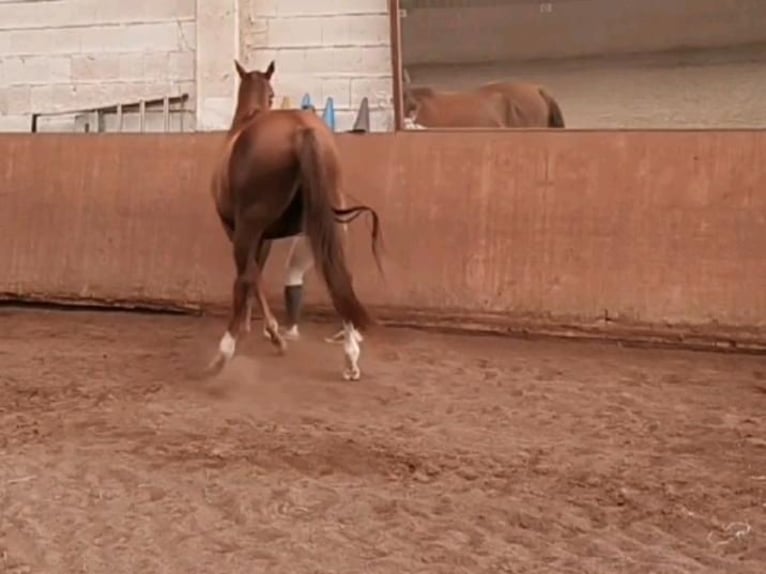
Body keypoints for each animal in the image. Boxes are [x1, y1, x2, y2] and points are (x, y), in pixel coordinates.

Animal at [208, 60, 382, 380]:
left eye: (272, 93)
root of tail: (301, 129)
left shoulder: (242, 231)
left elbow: (251, 276)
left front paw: (270, 333)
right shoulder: (264, 238)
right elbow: (258, 273)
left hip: (248, 228)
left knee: (245, 277)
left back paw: (224, 352)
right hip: (329, 229)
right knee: (339, 276)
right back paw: (350, 358)